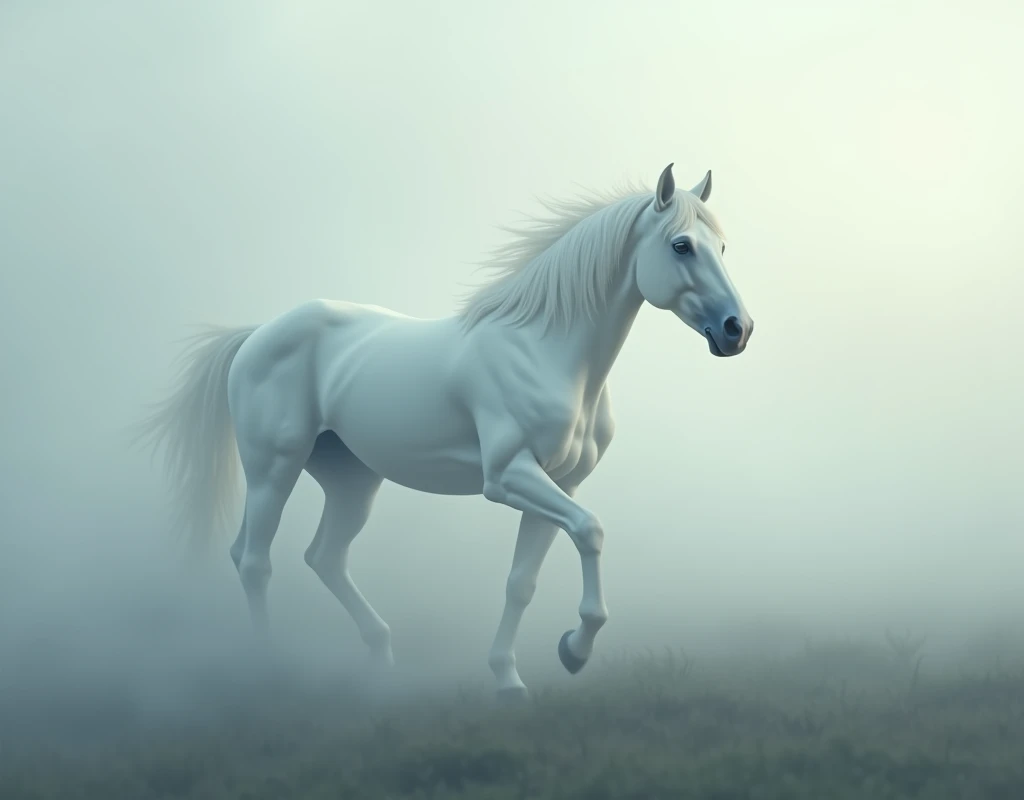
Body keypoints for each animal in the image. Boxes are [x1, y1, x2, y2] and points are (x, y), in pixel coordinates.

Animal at [138, 163, 753, 700]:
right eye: (681, 246)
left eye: (722, 248)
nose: (737, 330)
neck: (546, 353)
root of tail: (257, 334)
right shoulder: (509, 479)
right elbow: (591, 531)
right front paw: (574, 650)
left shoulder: (560, 485)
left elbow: (522, 581)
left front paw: (511, 679)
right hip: (273, 469)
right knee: (254, 560)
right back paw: (269, 669)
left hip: (351, 481)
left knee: (323, 557)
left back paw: (380, 656)